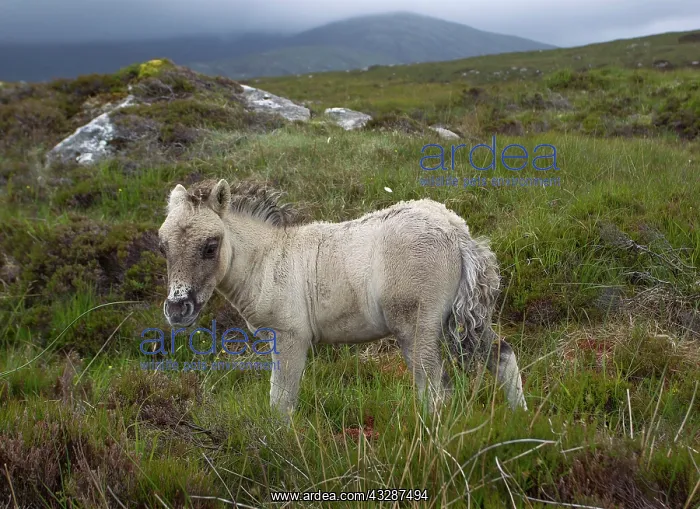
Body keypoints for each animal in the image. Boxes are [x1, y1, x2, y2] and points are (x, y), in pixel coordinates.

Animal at [157, 178, 527, 418]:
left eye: (210, 246)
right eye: (162, 246)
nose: (177, 309)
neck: (268, 258)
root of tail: (457, 232)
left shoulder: (290, 337)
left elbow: (281, 402)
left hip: (416, 327)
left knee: (435, 391)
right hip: (459, 319)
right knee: (502, 354)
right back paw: (521, 419)